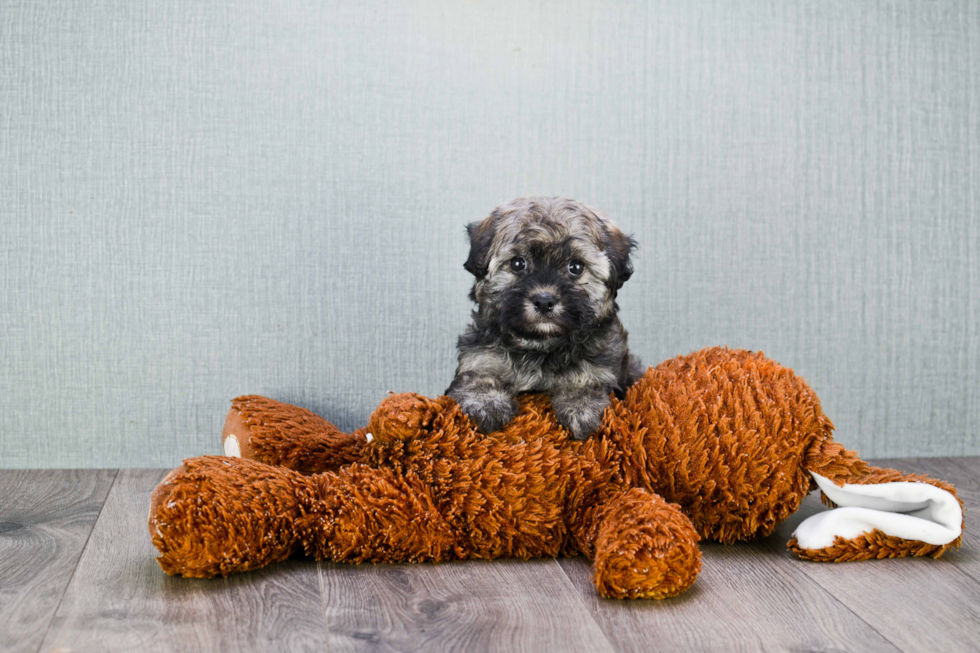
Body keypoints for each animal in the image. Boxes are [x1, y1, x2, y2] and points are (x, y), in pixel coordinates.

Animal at [444, 196, 644, 440]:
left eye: (576, 267)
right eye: (518, 263)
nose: (544, 300)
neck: (539, 345)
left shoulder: (603, 360)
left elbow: (588, 377)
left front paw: (580, 406)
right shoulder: (480, 353)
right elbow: (479, 373)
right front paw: (486, 403)